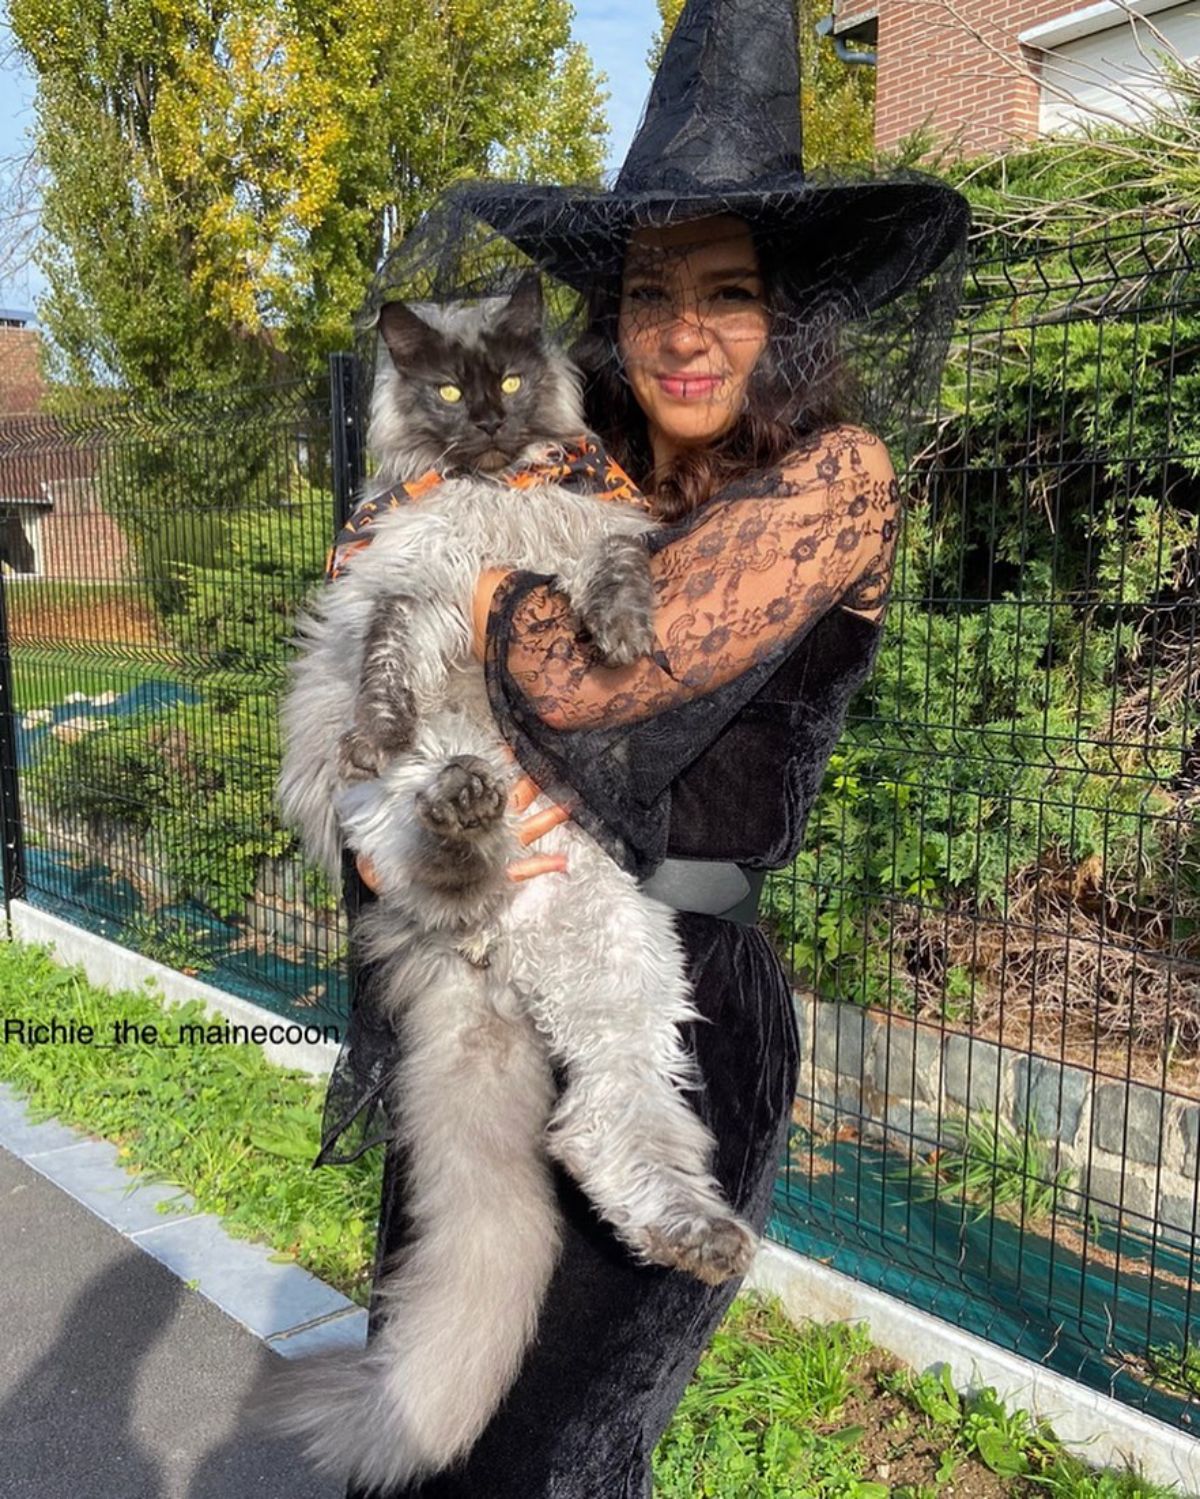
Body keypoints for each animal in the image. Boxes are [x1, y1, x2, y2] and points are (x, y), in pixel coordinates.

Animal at [257, 278, 755, 1487]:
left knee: (605, 1124)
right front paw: (380, 718)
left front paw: (622, 631)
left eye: (515, 380)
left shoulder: (585, 539)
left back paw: (699, 1237)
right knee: (440, 861)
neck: (498, 492)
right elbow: (391, 649)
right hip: (395, 825)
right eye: (446, 391)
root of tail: (488, 956)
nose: (485, 423)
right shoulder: (405, 580)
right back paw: (465, 808)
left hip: (620, 962)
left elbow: (613, 573)